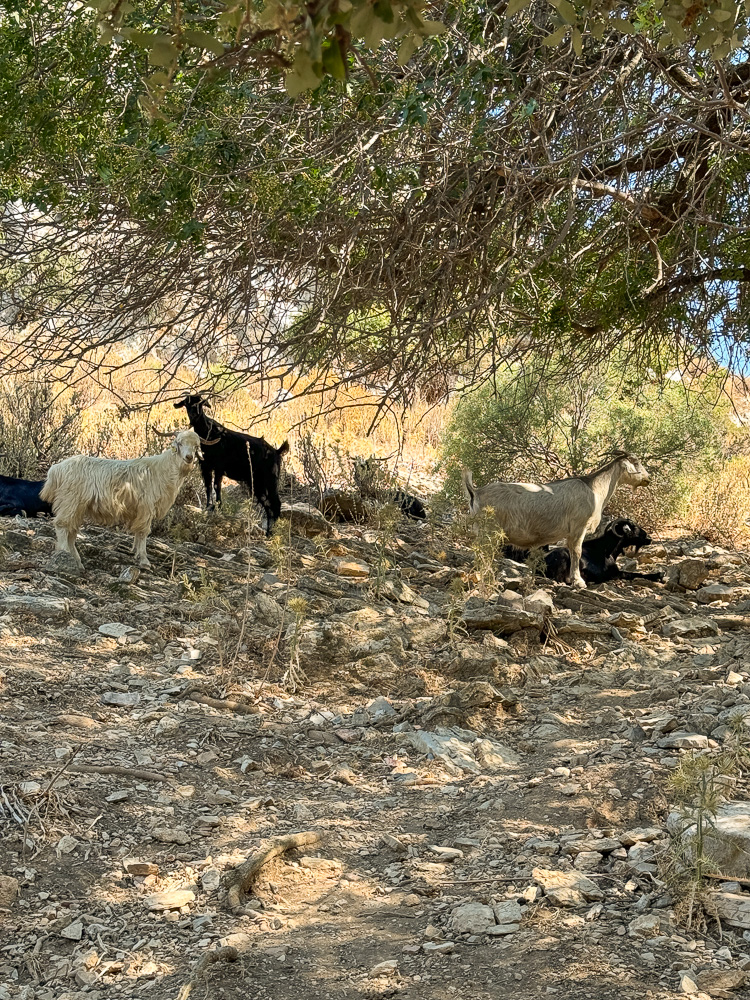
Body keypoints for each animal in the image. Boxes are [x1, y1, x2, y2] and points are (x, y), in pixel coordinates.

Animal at [40, 428, 200, 572]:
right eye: (179, 443)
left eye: (196, 446)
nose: (189, 457)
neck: (162, 469)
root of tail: (56, 469)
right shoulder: (147, 507)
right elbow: (143, 532)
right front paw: (144, 560)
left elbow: (138, 532)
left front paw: (136, 553)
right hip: (69, 501)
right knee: (62, 525)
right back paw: (64, 554)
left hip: (77, 507)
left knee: (71, 531)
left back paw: (78, 562)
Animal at [175, 392, 290, 540]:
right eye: (186, 403)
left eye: (201, 403)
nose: (195, 415)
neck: (209, 433)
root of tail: (277, 451)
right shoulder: (205, 467)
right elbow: (208, 487)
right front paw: (208, 507)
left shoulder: (219, 467)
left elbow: (216, 487)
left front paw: (218, 507)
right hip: (258, 483)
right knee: (268, 504)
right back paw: (267, 532)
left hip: (269, 480)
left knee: (275, 504)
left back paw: (269, 534)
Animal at [462, 452, 648, 584]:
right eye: (636, 463)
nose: (648, 479)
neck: (593, 489)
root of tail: (476, 492)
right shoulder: (578, 526)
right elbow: (576, 551)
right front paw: (578, 581)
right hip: (489, 531)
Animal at [506, 516, 664, 584]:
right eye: (634, 528)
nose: (649, 538)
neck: (607, 549)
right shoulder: (615, 573)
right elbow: (634, 574)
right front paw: (657, 575)